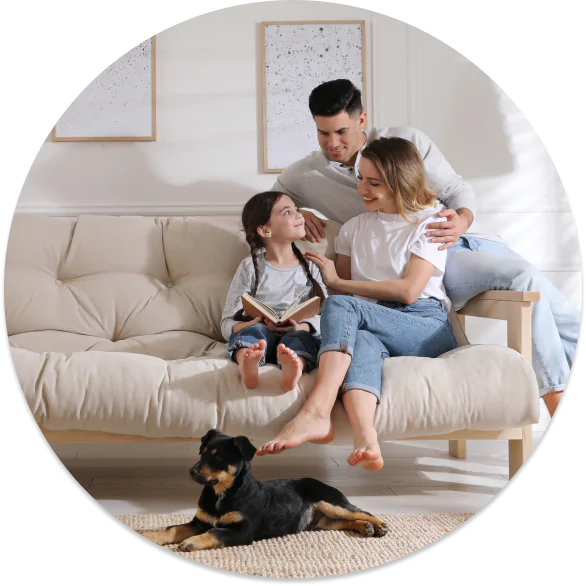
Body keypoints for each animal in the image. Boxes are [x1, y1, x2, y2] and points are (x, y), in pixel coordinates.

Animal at [139, 426, 388, 548]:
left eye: (218, 457)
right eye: (202, 453)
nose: (191, 471)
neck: (222, 493)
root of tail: (321, 482)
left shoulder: (242, 530)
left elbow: (214, 531)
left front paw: (191, 542)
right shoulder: (199, 521)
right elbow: (172, 529)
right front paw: (150, 534)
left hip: (331, 502)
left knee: (360, 511)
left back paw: (379, 525)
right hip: (323, 521)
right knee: (345, 521)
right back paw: (365, 528)